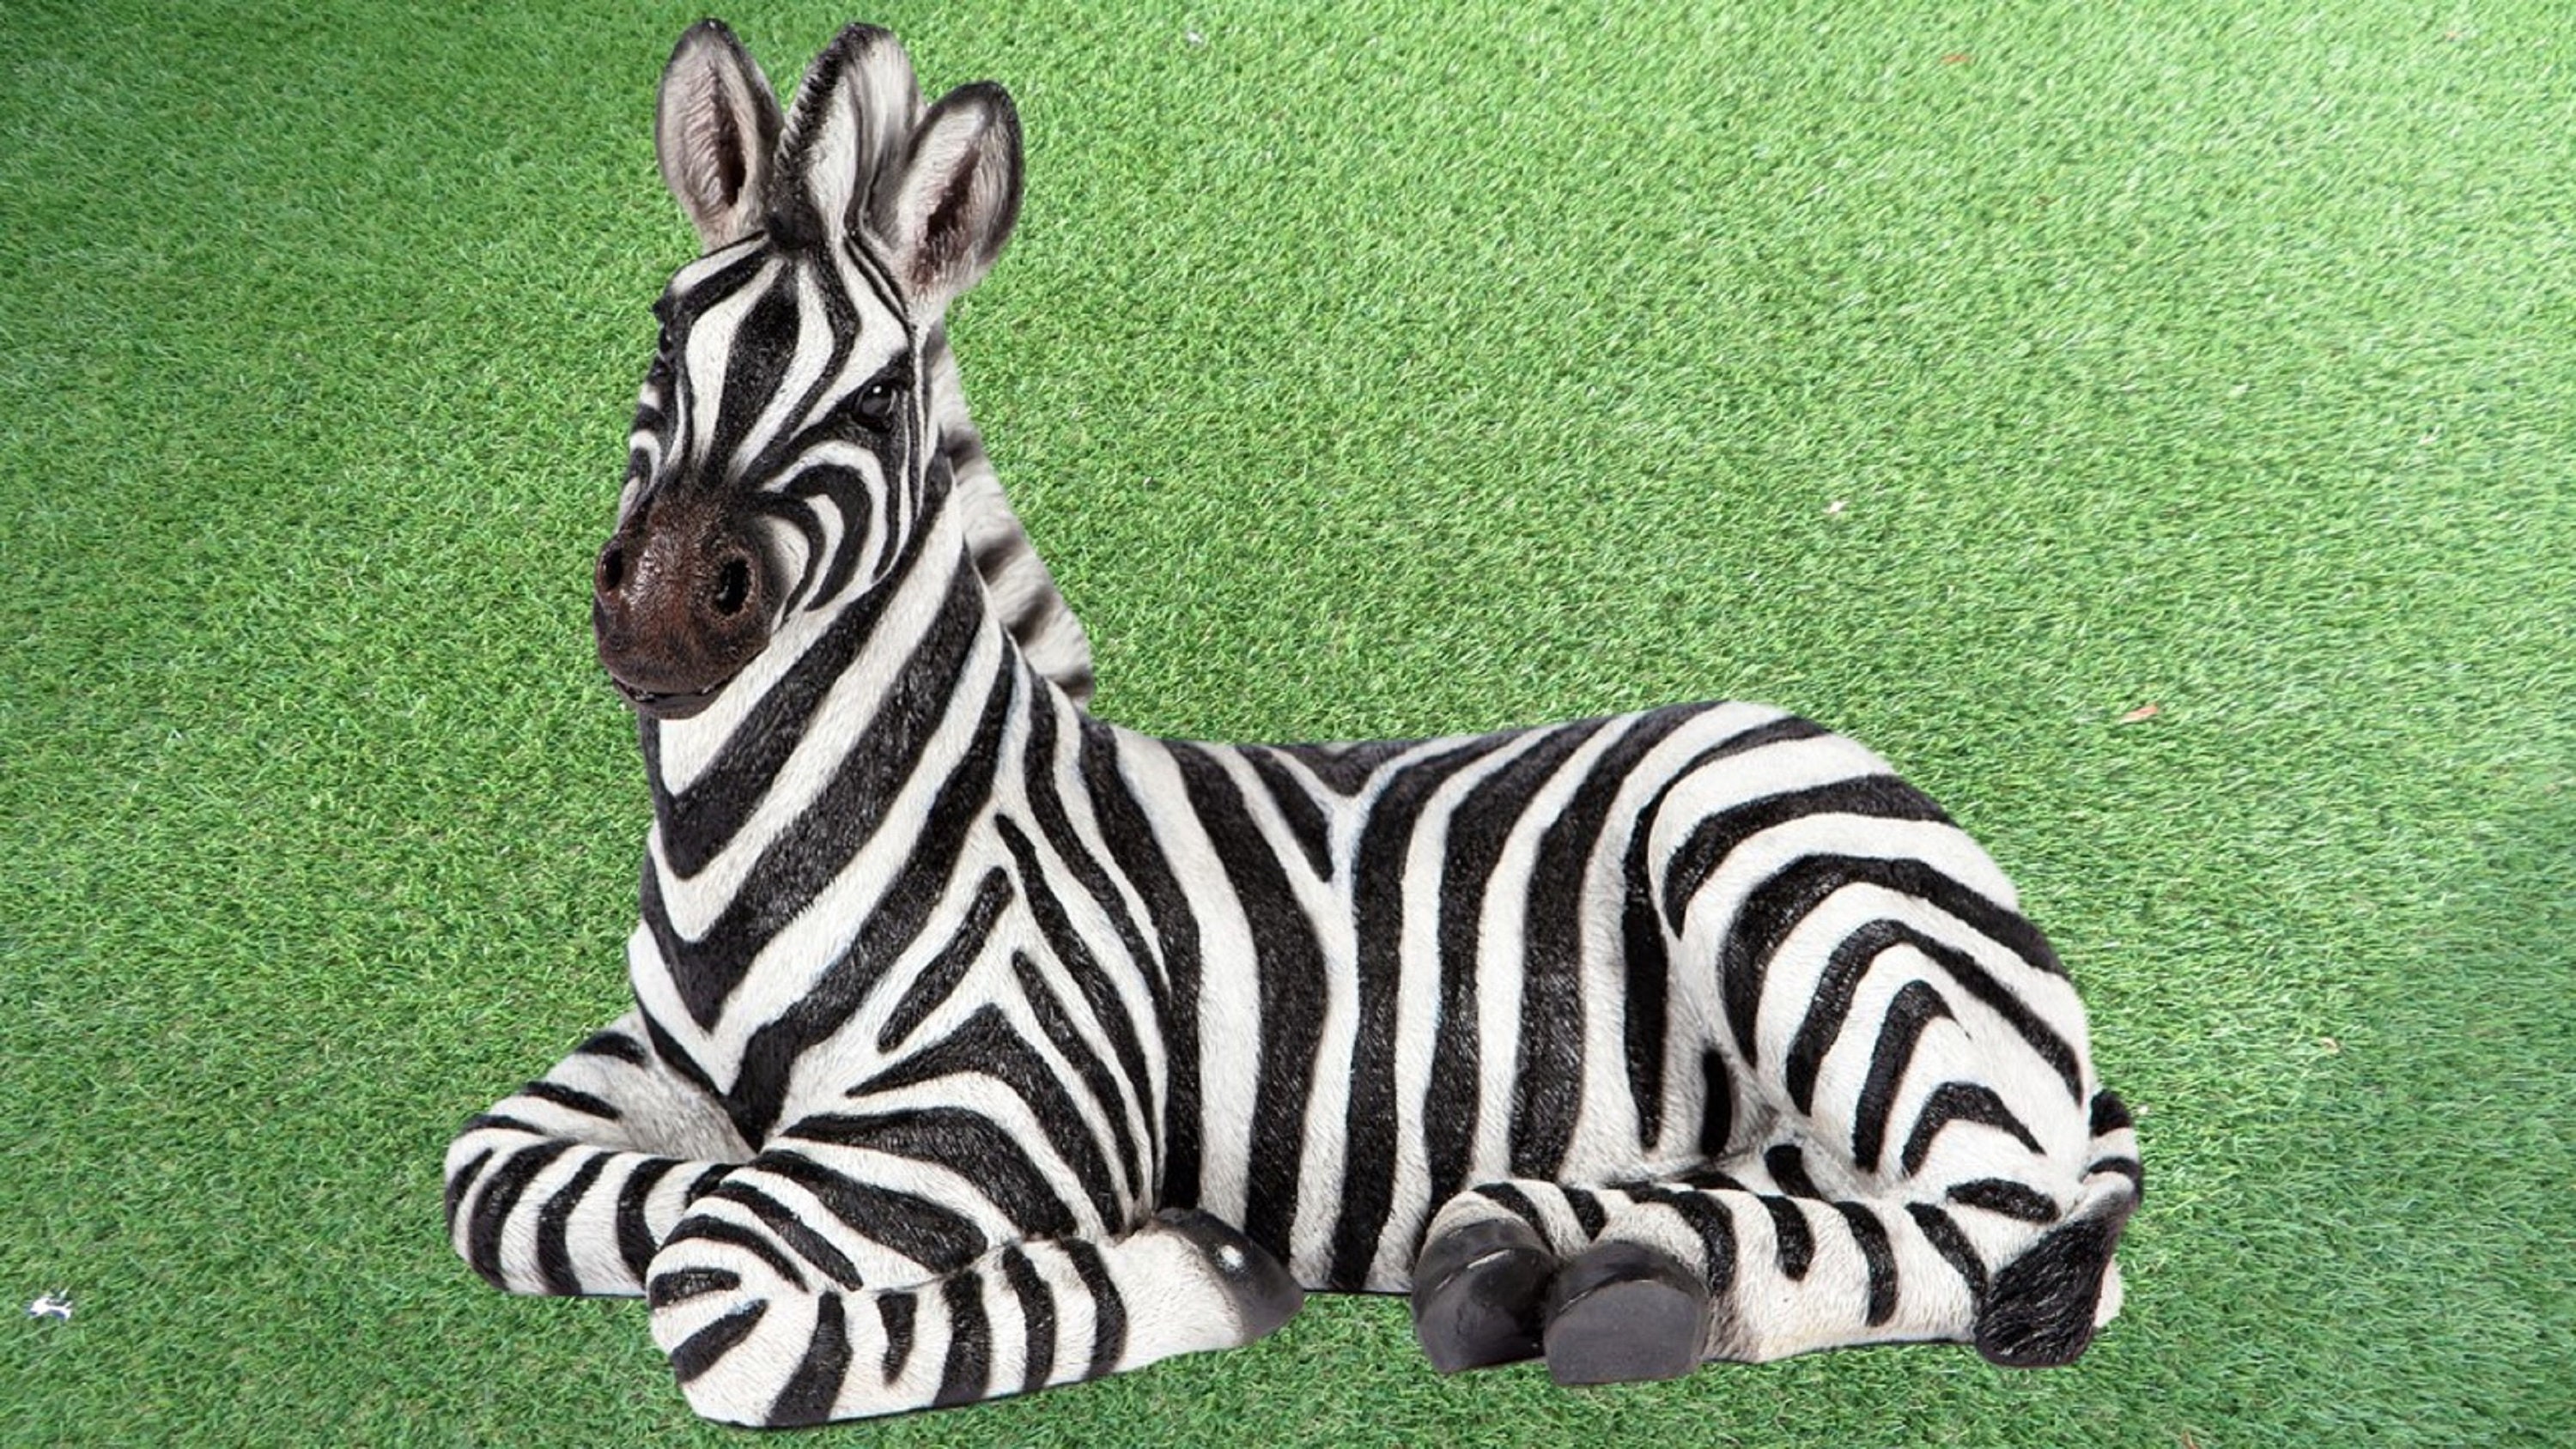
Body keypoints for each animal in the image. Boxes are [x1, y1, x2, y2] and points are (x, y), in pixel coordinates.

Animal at [443, 21, 2142, 1427]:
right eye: (662, 342)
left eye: (869, 405)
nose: (664, 614)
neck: (761, 825)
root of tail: (1889, 785)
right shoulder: (649, 1064)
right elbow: (512, 1180)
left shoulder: (1020, 1099)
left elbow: (713, 1282)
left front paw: (1184, 1263)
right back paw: (1537, 1247)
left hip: (1787, 895)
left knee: (2002, 1214)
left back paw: (1633, 1301)